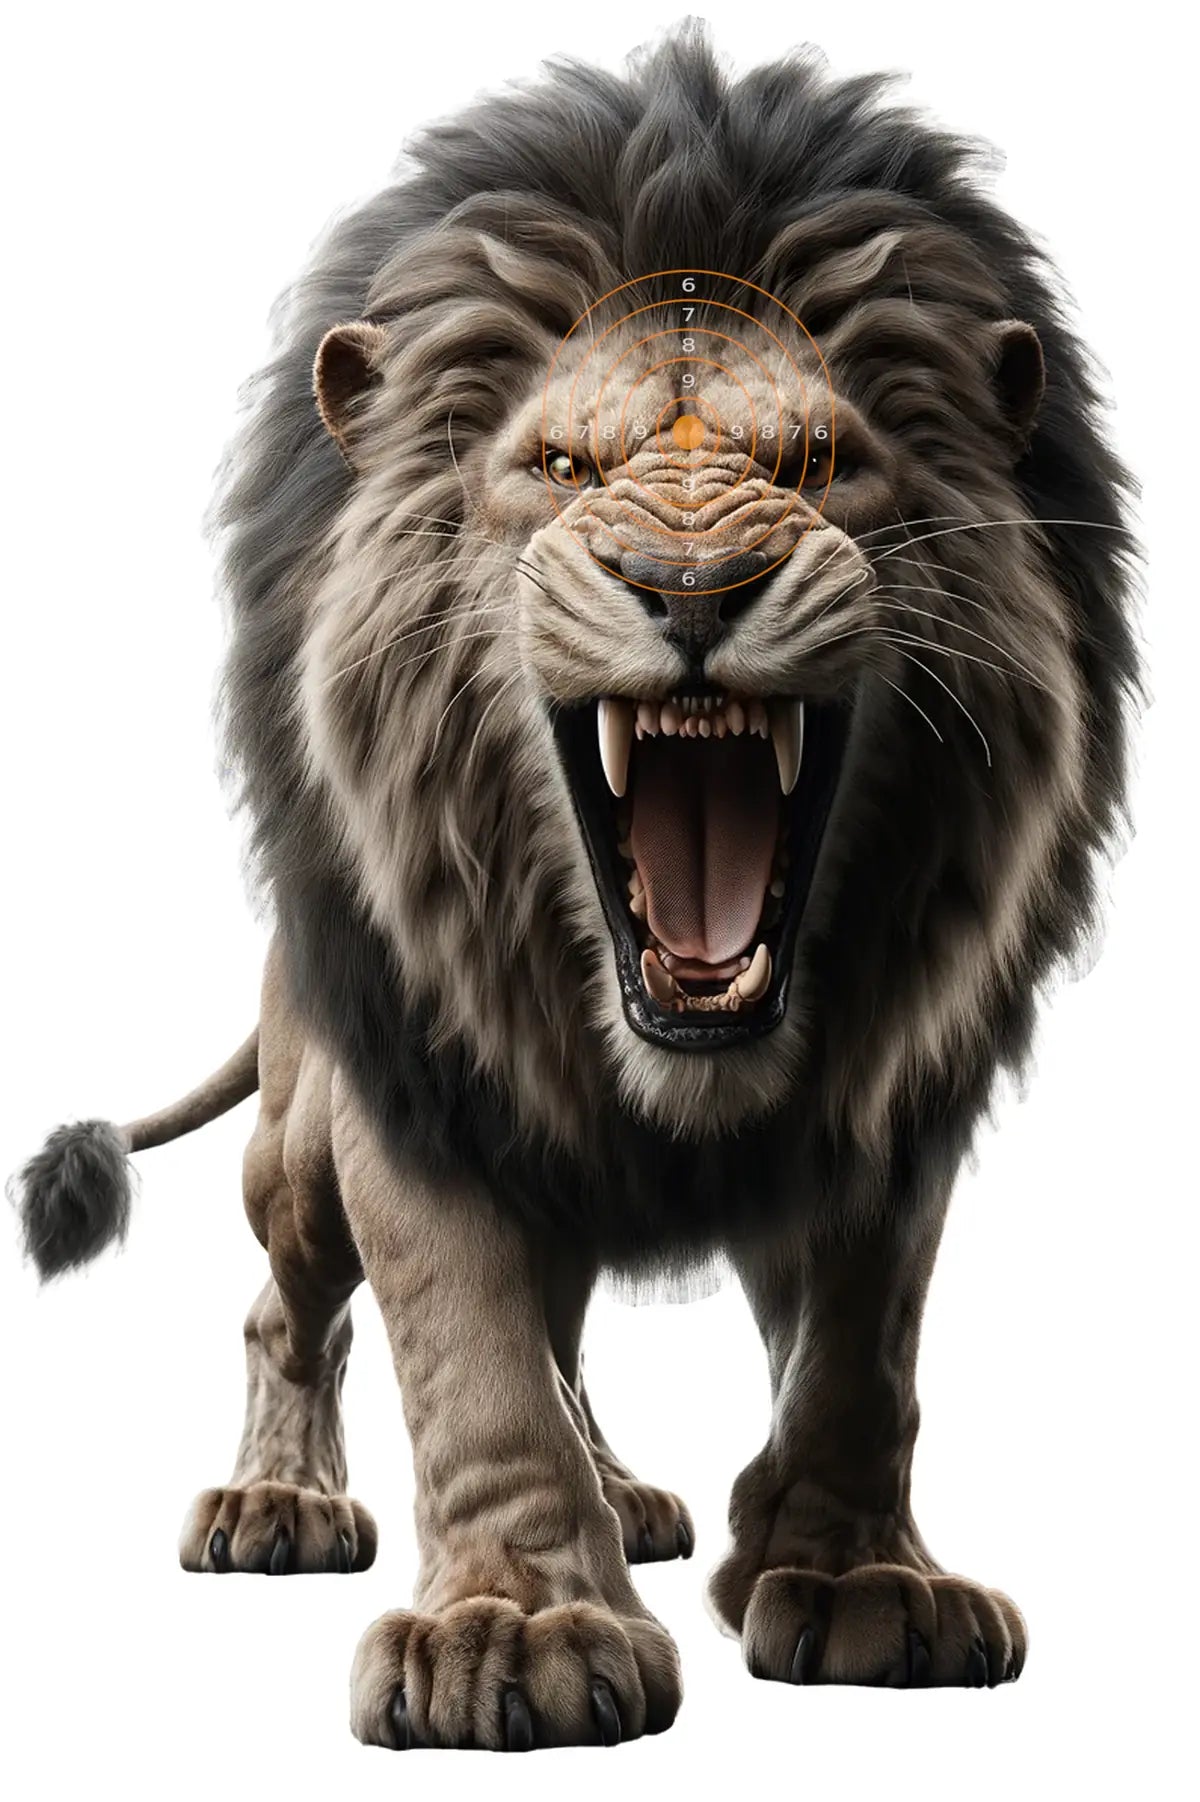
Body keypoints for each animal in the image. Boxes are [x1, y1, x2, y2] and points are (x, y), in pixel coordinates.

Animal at [14, 25, 1138, 1751]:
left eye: (819, 461)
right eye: (558, 465)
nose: (691, 586)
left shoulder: (893, 1093)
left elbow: (861, 1347)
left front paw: (853, 1575)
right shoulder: (418, 1083)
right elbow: (468, 1351)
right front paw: (513, 1627)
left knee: (572, 1328)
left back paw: (636, 1496)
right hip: (297, 1146)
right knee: (296, 1304)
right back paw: (279, 1506)